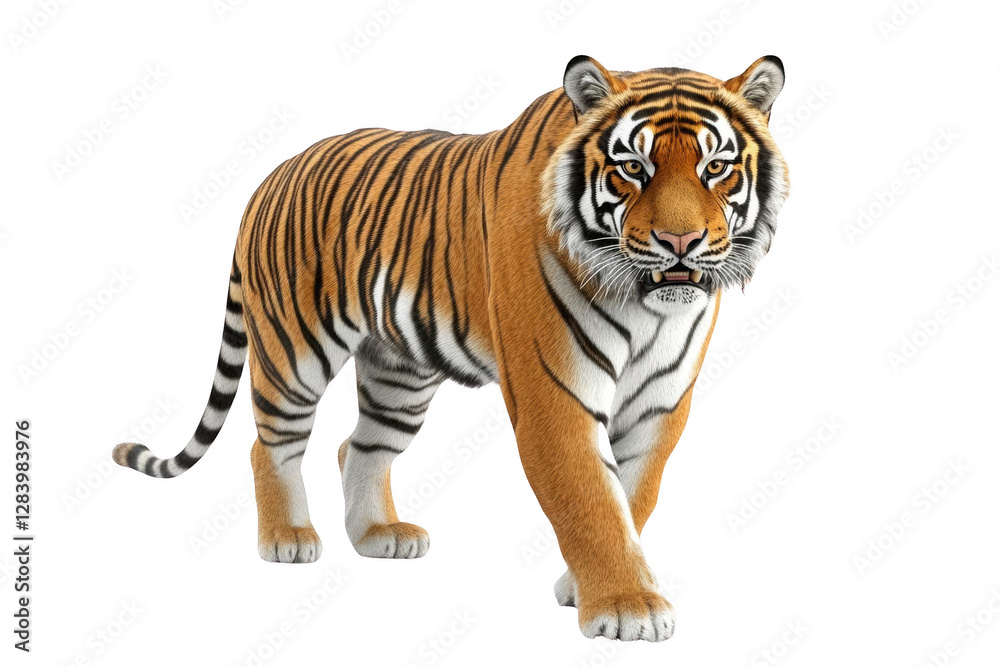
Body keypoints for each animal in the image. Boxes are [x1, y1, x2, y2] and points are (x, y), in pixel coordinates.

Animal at [112, 55, 789, 642]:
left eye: (715, 168)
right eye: (633, 169)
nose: (680, 241)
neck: (648, 307)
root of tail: (271, 176)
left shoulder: (660, 403)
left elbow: (634, 495)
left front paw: (586, 588)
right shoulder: (554, 396)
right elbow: (592, 499)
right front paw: (627, 609)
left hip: (400, 374)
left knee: (358, 445)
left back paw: (379, 534)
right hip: (293, 352)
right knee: (269, 444)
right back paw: (288, 538)